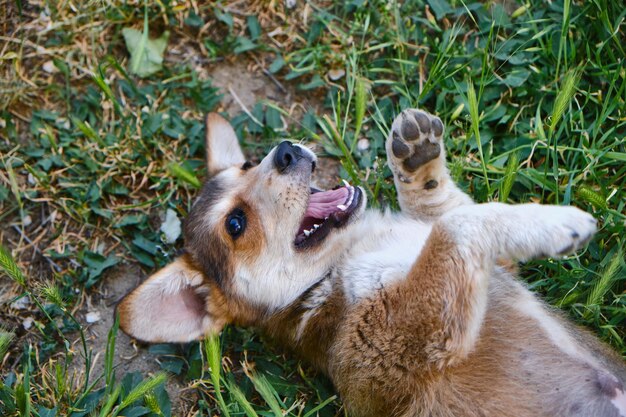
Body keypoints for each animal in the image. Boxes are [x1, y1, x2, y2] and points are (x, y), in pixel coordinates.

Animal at [118, 108, 624, 416]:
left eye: (246, 165)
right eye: (235, 224)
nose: (285, 150)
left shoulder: (491, 266)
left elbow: (449, 211)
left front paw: (417, 161)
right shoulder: (418, 330)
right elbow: (456, 225)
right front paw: (559, 224)